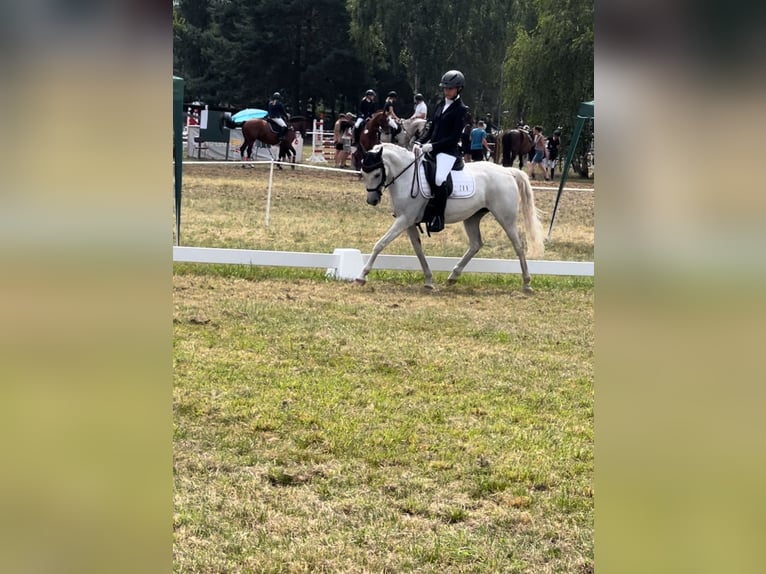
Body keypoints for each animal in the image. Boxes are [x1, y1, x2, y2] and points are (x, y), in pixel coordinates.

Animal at [358, 144, 544, 292]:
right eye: (363, 173)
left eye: (377, 174)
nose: (372, 200)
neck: (406, 176)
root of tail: (507, 171)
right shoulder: (409, 222)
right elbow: (418, 250)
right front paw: (428, 280)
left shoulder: (404, 219)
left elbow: (380, 244)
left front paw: (362, 276)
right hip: (472, 217)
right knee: (476, 244)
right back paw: (452, 277)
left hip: (505, 218)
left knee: (518, 246)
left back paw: (527, 283)